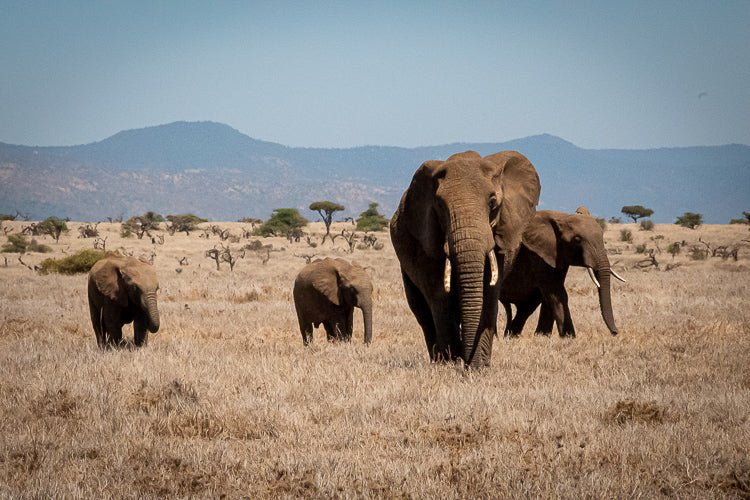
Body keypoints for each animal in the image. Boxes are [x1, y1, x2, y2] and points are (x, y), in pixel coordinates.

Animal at [394, 149, 540, 368]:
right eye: (440, 205)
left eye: (492, 202)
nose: (467, 363)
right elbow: (439, 296)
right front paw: (452, 364)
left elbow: (489, 293)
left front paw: (478, 367)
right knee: (422, 312)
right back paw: (438, 360)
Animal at [502, 209, 632, 338]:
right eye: (577, 239)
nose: (615, 332)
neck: (561, 216)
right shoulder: (537, 254)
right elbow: (556, 292)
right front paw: (569, 337)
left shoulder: (556, 255)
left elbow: (551, 295)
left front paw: (543, 337)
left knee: (526, 307)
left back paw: (510, 336)